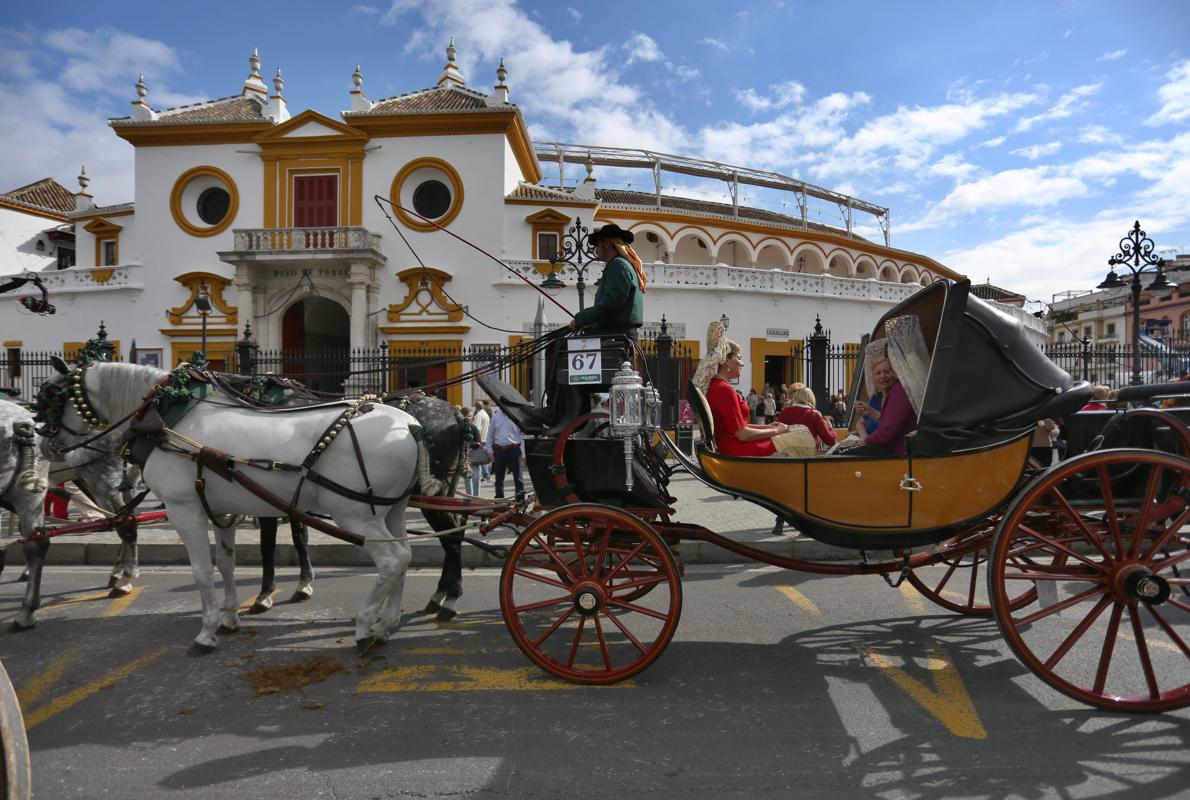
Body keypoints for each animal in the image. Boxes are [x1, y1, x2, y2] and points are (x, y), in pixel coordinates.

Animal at [40, 361, 423, 647]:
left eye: (54, 396)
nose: (46, 447)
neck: (167, 417)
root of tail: (409, 426)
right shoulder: (220, 508)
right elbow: (226, 563)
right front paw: (228, 616)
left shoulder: (183, 509)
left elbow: (201, 571)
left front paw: (207, 630)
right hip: (393, 510)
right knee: (404, 555)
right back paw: (387, 623)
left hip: (355, 515)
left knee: (392, 560)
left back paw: (365, 624)